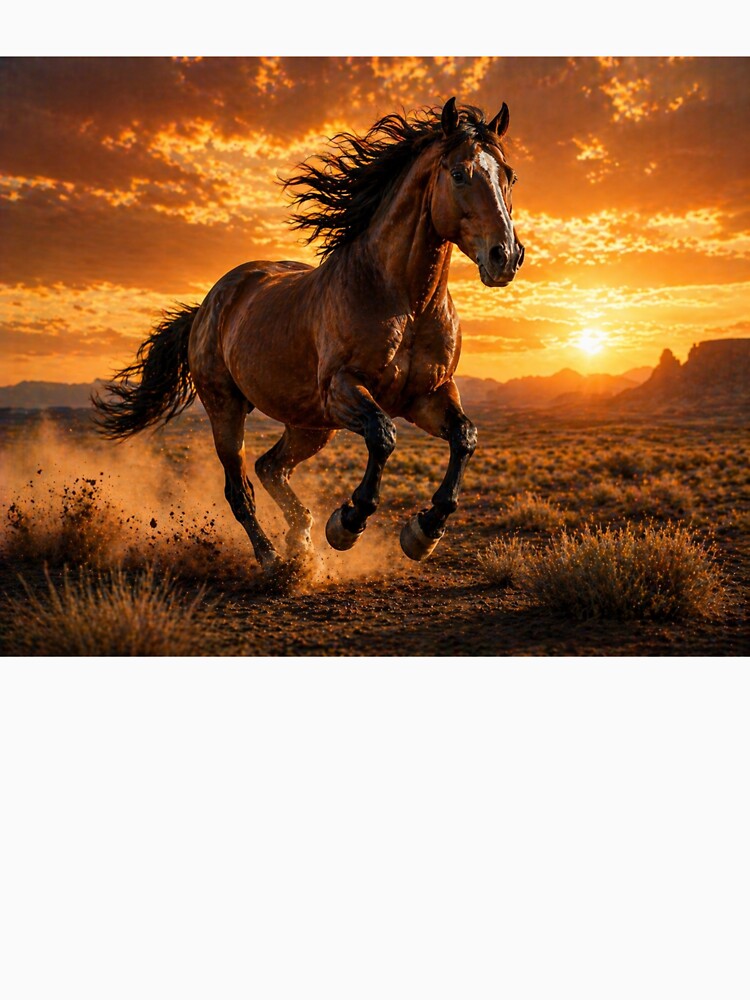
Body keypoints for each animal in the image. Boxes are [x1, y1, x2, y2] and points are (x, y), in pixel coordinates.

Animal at [94, 97, 525, 571]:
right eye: (460, 173)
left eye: (510, 176)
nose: (506, 256)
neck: (407, 304)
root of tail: (209, 304)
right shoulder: (342, 389)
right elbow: (383, 436)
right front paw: (347, 524)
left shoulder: (429, 395)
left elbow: (465, 437)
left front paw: (422, 533)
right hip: (228, 410)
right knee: (239, 488)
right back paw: (272, 559)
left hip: (311, 424)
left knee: (270, 467)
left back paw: (299, 539)